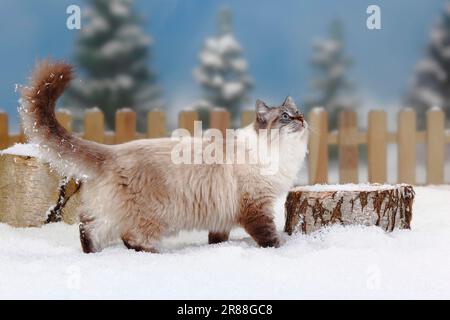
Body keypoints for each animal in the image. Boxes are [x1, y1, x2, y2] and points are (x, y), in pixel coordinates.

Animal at [21, 61, 310, 254]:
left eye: (298, 113)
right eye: (285, 117)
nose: (301, 121)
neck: (282, 153)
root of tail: (112, 151)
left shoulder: (224, 214)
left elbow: (217, 238)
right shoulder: (257, 206)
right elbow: (269, 237)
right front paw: (281, 249)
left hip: (112, 213)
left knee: (88, 228)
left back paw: (93, 254)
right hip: (156, 215)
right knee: (130, 237)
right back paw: (155, 255)